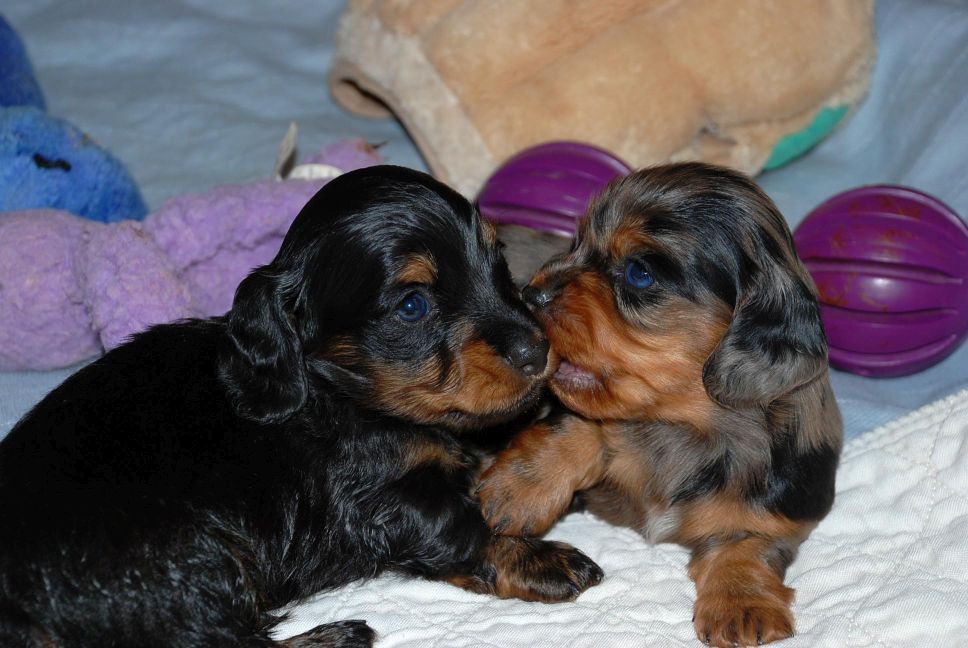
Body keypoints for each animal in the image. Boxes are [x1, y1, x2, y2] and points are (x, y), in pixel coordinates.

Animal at [0, 165, 603, 648]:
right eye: (413, 305)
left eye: (496, 262)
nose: (537, 349)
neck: (333, 388)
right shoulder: (383, 496)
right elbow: (461, 525)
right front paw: (541, 557)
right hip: (195, 556)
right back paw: (336, 636)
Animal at [477, 163, 843, 648]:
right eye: (575, 244)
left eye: (639, 273)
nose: (529, 294)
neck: (681, 426)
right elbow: (580, 423)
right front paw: (518, 489)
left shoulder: (779, 505)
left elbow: (747, 543)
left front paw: (741, 604)